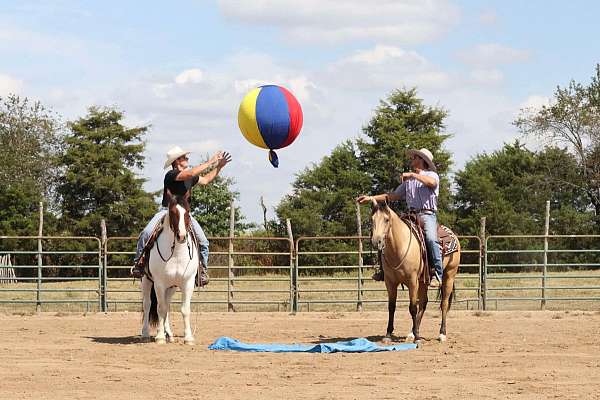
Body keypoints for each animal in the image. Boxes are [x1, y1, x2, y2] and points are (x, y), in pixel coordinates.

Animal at [141, 192, 199, 346]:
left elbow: (184, 309)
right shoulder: (159, 284)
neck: (176, 254)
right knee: (148, 305)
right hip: (146, 281)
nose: (182, 236)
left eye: (188, 212)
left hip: (171, 287)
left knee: (167, 304)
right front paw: (160, 337)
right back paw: (146, 333)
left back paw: (169, 334)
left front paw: (188, 338)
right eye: (172, 212)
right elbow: (160, 308)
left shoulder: (188, 283)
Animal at [370, 199, 460, 344]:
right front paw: (388, 334)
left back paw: (441, 334)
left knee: (444, 304)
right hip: (423, 280)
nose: (376, 241)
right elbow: (391, 307)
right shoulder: (390, 282)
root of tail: (452, 235)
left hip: (449, 275)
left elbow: (412, 307)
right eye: (372, 219)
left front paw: (417, 338)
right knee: (424, 302)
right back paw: (412, 332)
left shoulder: (412, 281)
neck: (399, 248)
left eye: (386, 219)